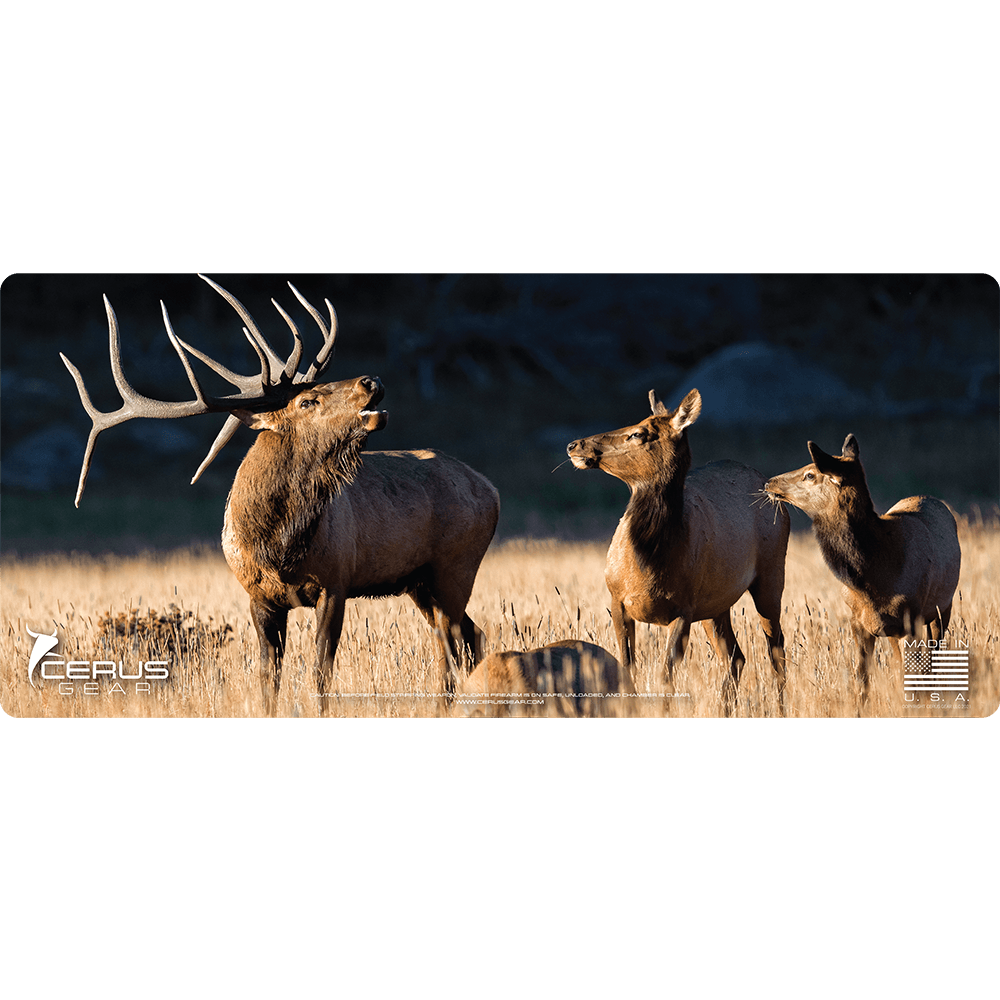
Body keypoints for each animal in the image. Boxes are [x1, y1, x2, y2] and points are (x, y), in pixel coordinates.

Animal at [60, 275, 500, 716]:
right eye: (309, 399)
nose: (371, 381)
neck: (277, 545)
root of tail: (491, 488)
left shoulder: (336, 582)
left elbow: (320, 672)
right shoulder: (258, 596)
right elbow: (267, 676)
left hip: (456, 565)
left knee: (454, 643)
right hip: (421, 581)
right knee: (468, 637)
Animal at [566, 388, 790, 714]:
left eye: (638, 433)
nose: (574, 445)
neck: (649, 564)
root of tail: (768, 486)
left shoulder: (683, 608)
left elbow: (665, 676)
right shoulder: (617, 599)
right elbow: (628, 668)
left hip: (771, 574)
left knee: (776, 650)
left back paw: (781, 707)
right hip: (715, 604)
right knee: (736, 657)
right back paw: (724, 709)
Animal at [764, 435, 961, 700]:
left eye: (810, 474)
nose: (769, 482)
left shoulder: (912, 618)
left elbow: (914, 678)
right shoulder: (858, 621)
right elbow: (861, 680)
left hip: (942, 609)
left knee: (933, 662)